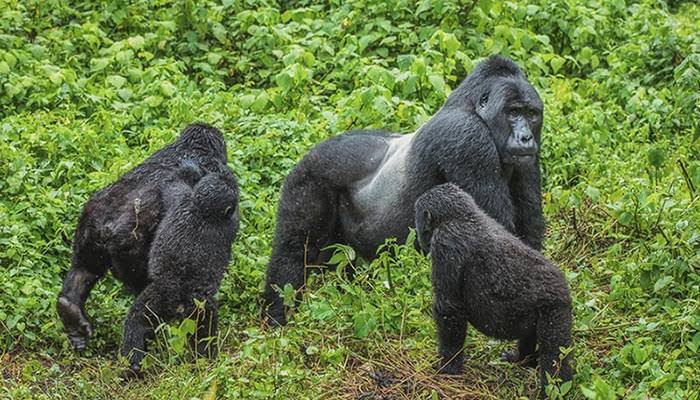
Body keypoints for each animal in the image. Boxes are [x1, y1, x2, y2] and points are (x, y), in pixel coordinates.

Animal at [121, 165, 239, 376]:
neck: (201, 211)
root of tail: (175, 299)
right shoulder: (229, 223)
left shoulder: (180, 198)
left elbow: (172, 183)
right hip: (197, 306)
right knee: (205, 329)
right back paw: (206, 360)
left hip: (155, 298)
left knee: (137, 319)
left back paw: (133, 361)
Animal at [266, 54, 544, 324]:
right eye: (513, 112)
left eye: (531, 114)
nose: (526, 137)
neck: (472, 107)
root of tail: (309, 153)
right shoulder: (467, 138)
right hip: (309, 176)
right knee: (294, 250)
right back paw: (278, 313)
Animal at [416, 184, 568, 396]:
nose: (418, 236)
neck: (462, 216)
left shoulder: (444, 245)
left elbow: (449, 308)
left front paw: (448, 367)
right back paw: (522, 358)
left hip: (556, 308)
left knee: (554, 355)